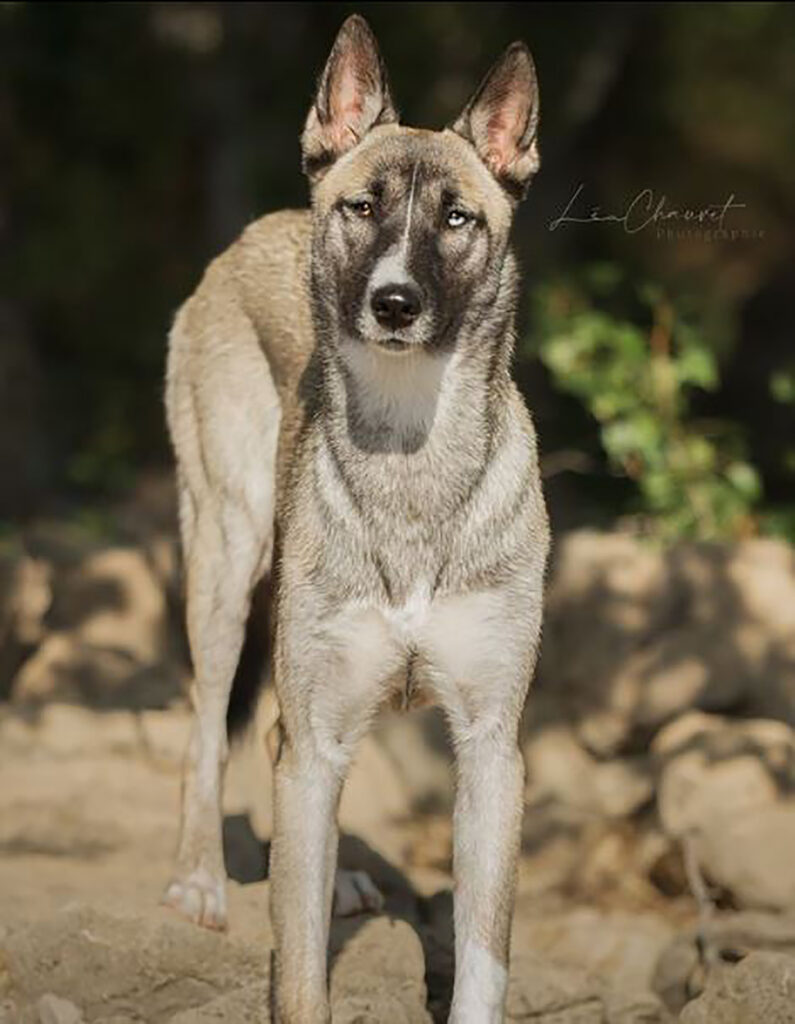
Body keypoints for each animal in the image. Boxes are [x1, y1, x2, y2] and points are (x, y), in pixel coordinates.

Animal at [161, 16, 545, 1024]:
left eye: (457, 219)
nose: (394, 302)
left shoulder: (491, 751)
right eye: (363, 208)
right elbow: (298, 972)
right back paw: (199, 883)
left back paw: (329, 881)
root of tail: (256, 228)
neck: (410, 461)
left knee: (277, 750)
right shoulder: (317, 718)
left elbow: (483, 959)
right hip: (226, 566)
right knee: (208, 732)